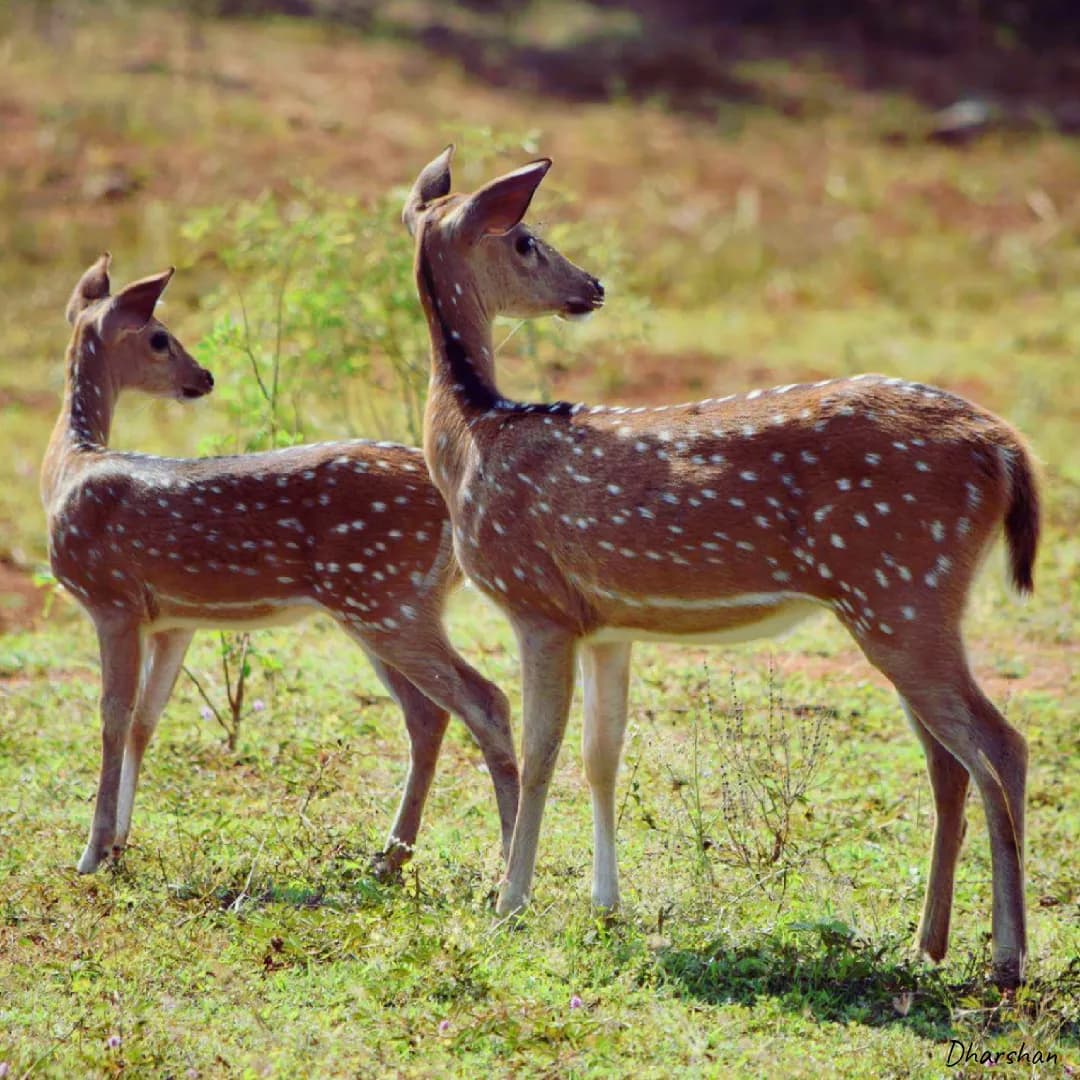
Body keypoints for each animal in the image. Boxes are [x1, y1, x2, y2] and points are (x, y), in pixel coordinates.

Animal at [40, 253, 519, 880]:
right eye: (161, 338)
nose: (204, 376)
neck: (68, 469)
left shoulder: (111, 599)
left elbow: (112, 717)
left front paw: (93, 853)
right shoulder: (172, 619)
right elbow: (146, 720)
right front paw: (121, 844)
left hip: (386, 598)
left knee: (486, 701)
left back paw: (503, 868)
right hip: (382, 606)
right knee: (427, 714)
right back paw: (389, 859)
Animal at [401, 146, 1040, 988]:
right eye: (528, 241)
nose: (593, 286)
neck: (474, 437)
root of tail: (1006, 448)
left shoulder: (536, 602)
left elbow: (539, 752)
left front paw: (511, 904)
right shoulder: (605, 625)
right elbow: (602, 756)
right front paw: (605, 905)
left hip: (902, 590)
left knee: (1001, 745)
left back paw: (1007, 958)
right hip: (912, 601)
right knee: (951, 759)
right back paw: (927, 943)